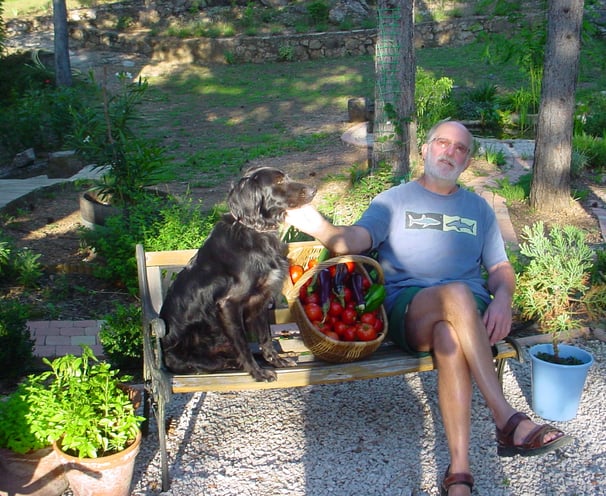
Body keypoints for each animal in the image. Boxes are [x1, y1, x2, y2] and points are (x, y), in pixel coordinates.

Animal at [159, 167, 320, 380]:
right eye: (278, 181)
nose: (313, 190)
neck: (254, 229)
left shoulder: (260, 301)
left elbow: (265, 337)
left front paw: (277, 361)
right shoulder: (228, 305)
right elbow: (243, 345)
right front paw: (258, 373)